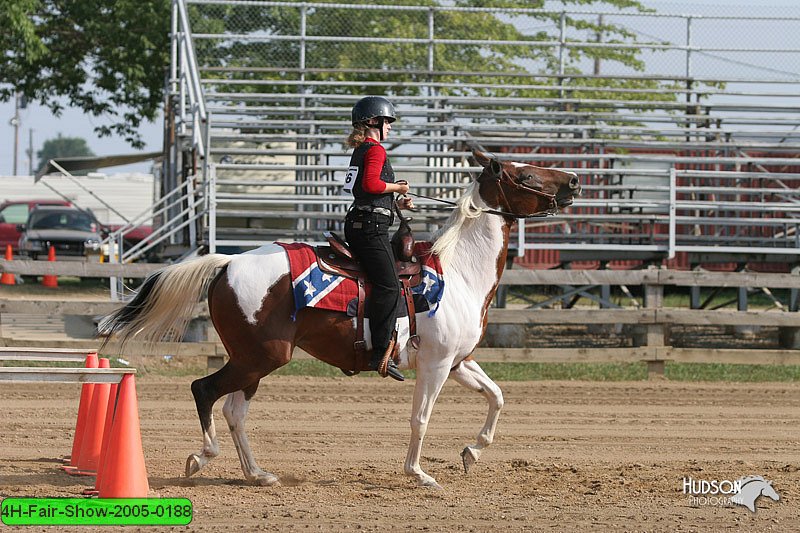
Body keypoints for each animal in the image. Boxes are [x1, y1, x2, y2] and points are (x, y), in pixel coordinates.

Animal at [100, 149, 580, 486]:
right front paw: (419, 474)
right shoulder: (436, 365)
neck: (457, 272)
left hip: (253, 360)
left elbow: (497, 397)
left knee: (235, 409)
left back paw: (257, 474)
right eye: (527, 174)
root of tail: (227, 263)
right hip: (261, 357)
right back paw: (202, 457)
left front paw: (472, 452)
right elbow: (421, 418)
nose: (574, 179)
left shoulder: (459, 362)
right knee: (205, 391)